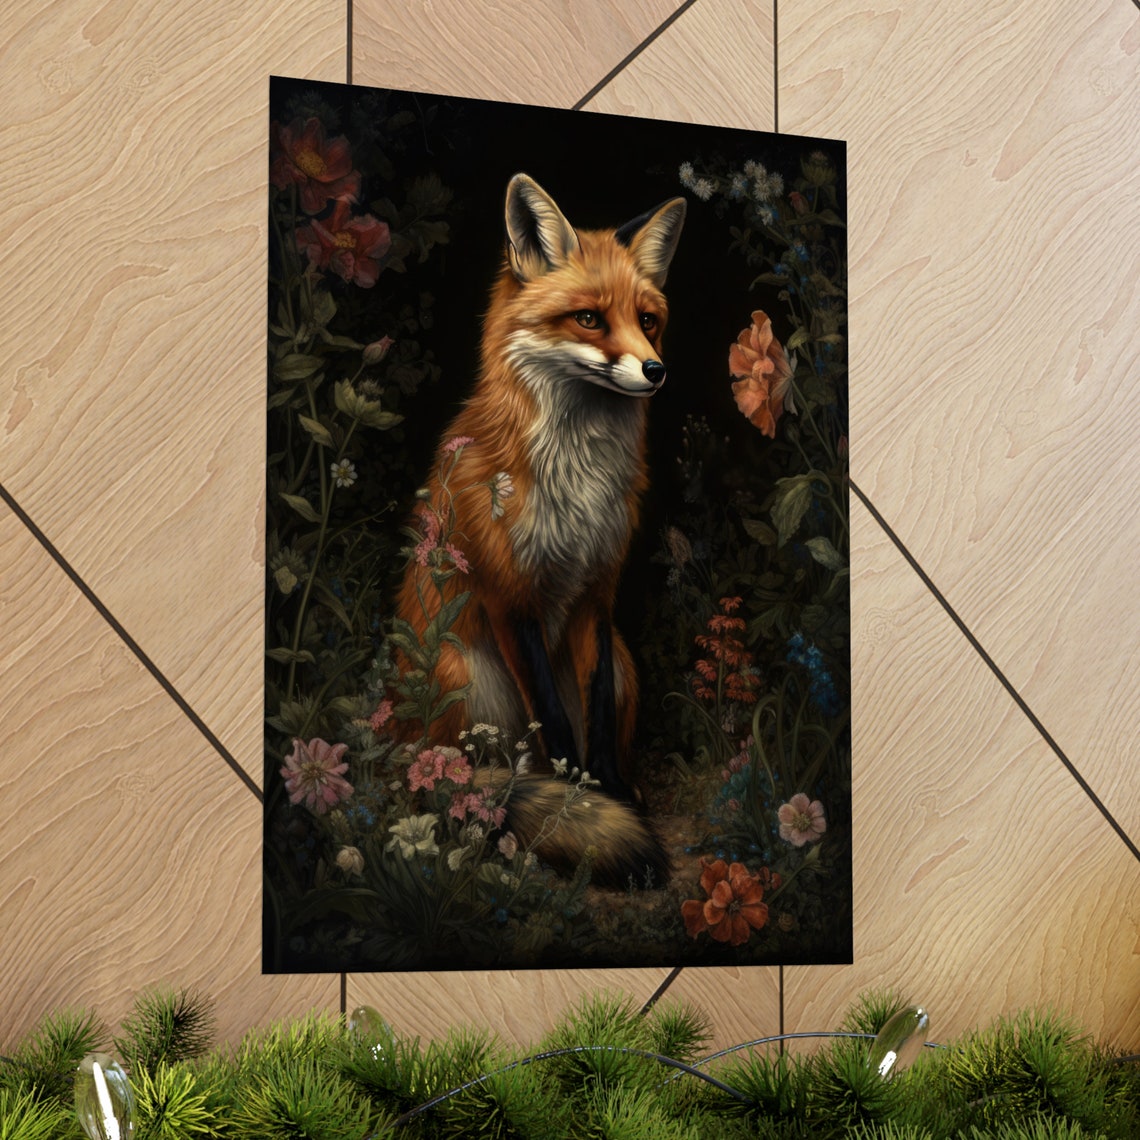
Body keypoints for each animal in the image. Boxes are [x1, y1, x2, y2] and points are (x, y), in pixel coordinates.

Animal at [393, 173, 686, 887]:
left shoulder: (597, 594)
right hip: (465, 675)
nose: (656, 370)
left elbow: (595, 713)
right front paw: (578, 800)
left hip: (626, 657)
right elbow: (553, 721)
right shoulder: (511, 597)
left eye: (647, 320)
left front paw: (608, 791)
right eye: (589, 318)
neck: (577, 482)